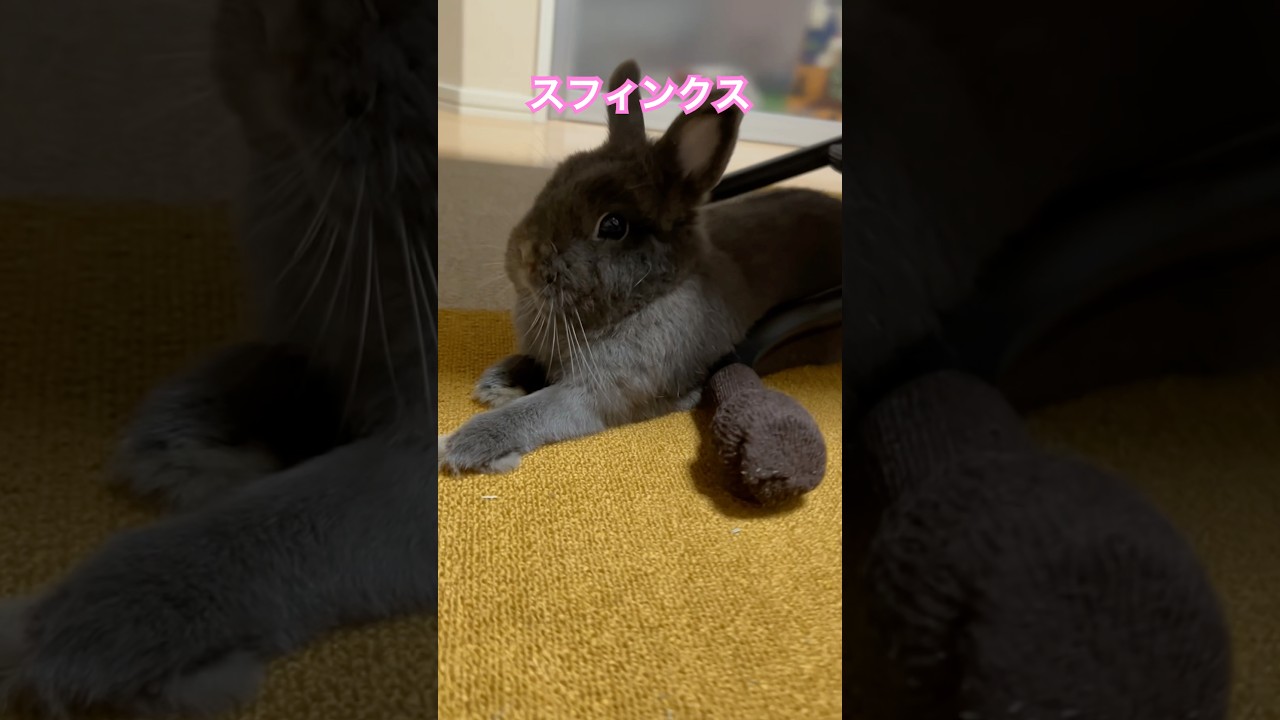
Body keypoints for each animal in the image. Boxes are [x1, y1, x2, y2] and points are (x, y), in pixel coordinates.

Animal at [438, 59, 842, 474]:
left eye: (613, 225)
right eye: (556, 180)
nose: (524, 256)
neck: (642, 300)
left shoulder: (595, 393)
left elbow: (534, 411)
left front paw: (465, 445)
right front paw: (497, 383)